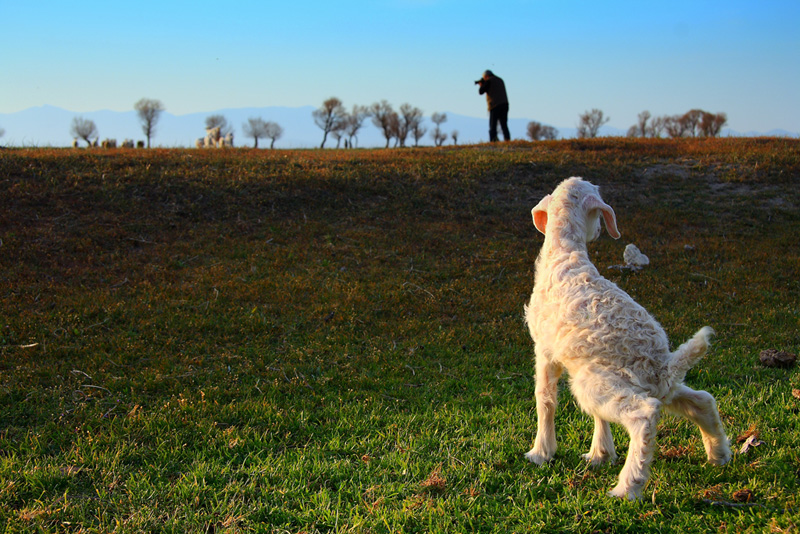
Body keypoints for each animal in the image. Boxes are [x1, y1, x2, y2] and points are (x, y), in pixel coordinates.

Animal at [524, 178, 732, 500]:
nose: (598, 231)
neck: (565, 254)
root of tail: (662, 366)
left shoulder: (545, 351)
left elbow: (545, 399)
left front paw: (540, 452)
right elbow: (599, 417)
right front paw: (600, 454)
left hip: (597, 383)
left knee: (644, 415)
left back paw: (628, 487)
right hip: (628, 383)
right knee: (702, 400)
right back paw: (718, 454)